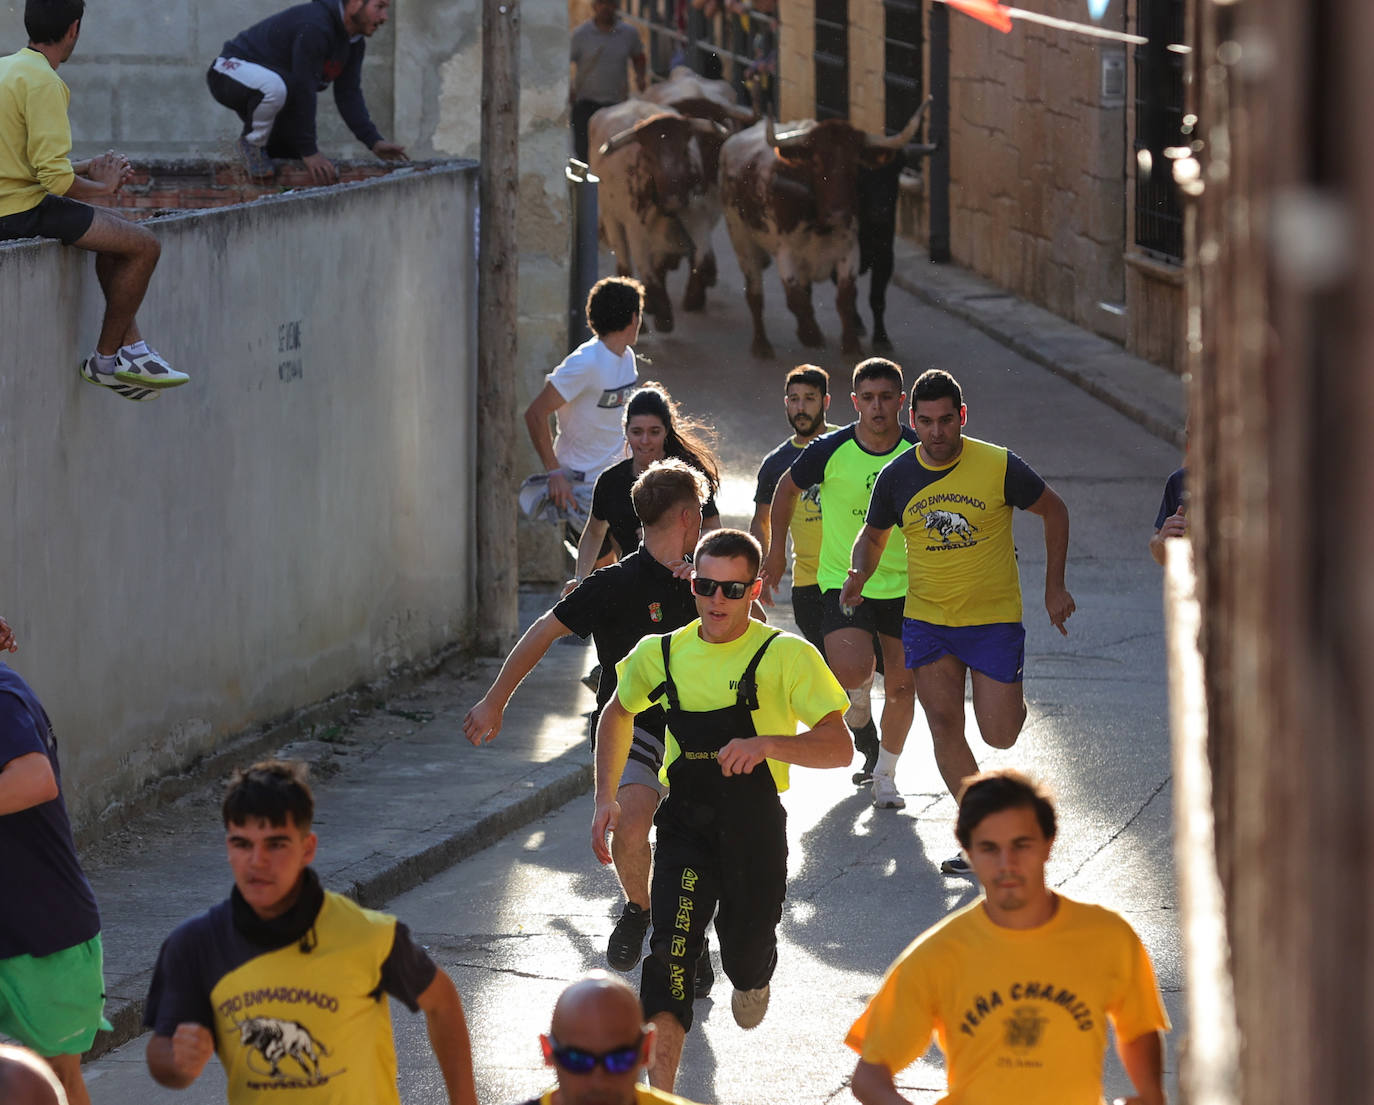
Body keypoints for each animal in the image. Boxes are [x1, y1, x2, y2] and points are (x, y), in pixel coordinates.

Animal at [590, 101, 730, 329]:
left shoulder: (697, 216)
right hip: (611, 217)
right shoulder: (635, 229)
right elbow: (646, 271)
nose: (673, 200)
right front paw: (662, 314)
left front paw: (693, 296)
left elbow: (703, 258)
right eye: (648, 155)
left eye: (684, 150)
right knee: (624, 261)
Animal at [719, 104, 934, 357]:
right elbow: (795, 298)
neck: (820, 223)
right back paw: (762, 346)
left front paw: (851, 347)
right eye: (816, 162)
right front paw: (810, 335)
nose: (839, 214)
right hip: (741, 239)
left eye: (855, 164)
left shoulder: (851, 251)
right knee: (755, 293)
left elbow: (847, 297)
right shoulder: (786, 253)